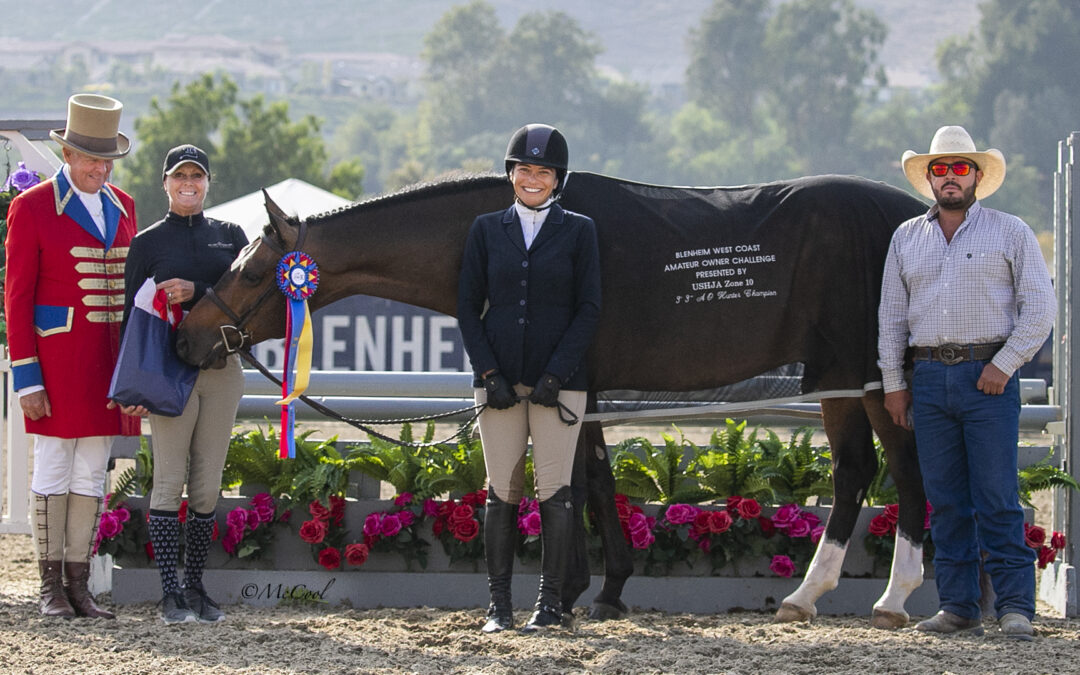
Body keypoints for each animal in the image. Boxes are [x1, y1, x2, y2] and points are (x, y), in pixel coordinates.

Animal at [174, 169, 928, 626]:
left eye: (250, 272)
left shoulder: (573, 378)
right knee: (859, 471)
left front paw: (581, 593)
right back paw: (814, 595)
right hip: (839, 378)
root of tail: (920, 216)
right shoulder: (574, 388)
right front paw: (599, 588)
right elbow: (590, 480)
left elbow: (580, 481)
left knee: (902, 469)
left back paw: (891, 597)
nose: (188, 335)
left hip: (870, 376)